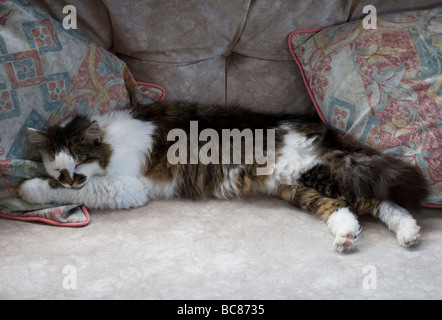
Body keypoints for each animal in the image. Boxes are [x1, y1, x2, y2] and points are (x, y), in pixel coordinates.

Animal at [17, 101, 428, 251]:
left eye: (79, 165)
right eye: (59, 166)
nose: (69, 178)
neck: (110, 144)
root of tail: (323, 128)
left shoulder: (125, 187)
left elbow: (74, 194)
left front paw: (27, 189)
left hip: (316, 172)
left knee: (380, 200)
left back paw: (408, 232)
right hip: (298, 188)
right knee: (343, 209)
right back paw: (346, 235)